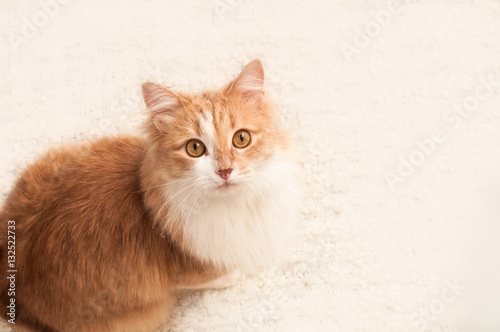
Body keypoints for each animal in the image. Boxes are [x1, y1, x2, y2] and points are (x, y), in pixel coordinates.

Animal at [0, 60, 300, 332]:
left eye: (241, 139)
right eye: (194, 148)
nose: (225, 171)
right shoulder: (185, 267)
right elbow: (212, 276)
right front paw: (232, 275)